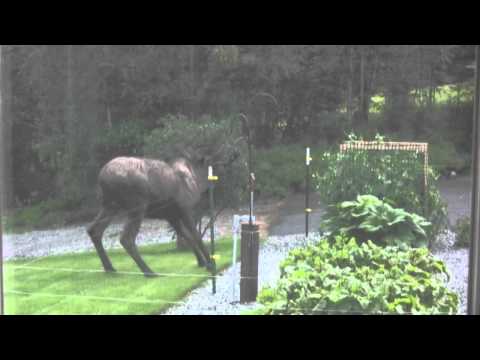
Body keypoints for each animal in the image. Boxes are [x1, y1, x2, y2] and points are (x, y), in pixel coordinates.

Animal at [86, 139, 240, 278]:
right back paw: (149, 272)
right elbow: (195, 235)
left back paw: (110, 268)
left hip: (110, 205)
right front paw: (210, 264)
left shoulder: (171, 216)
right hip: (137, 206)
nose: (234, 153)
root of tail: (102, 178)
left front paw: (200, 261)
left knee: (94, 230)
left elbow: (186, 236)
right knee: (126, 238)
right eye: (214, 159)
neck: (198, 182)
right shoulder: (185, 209)